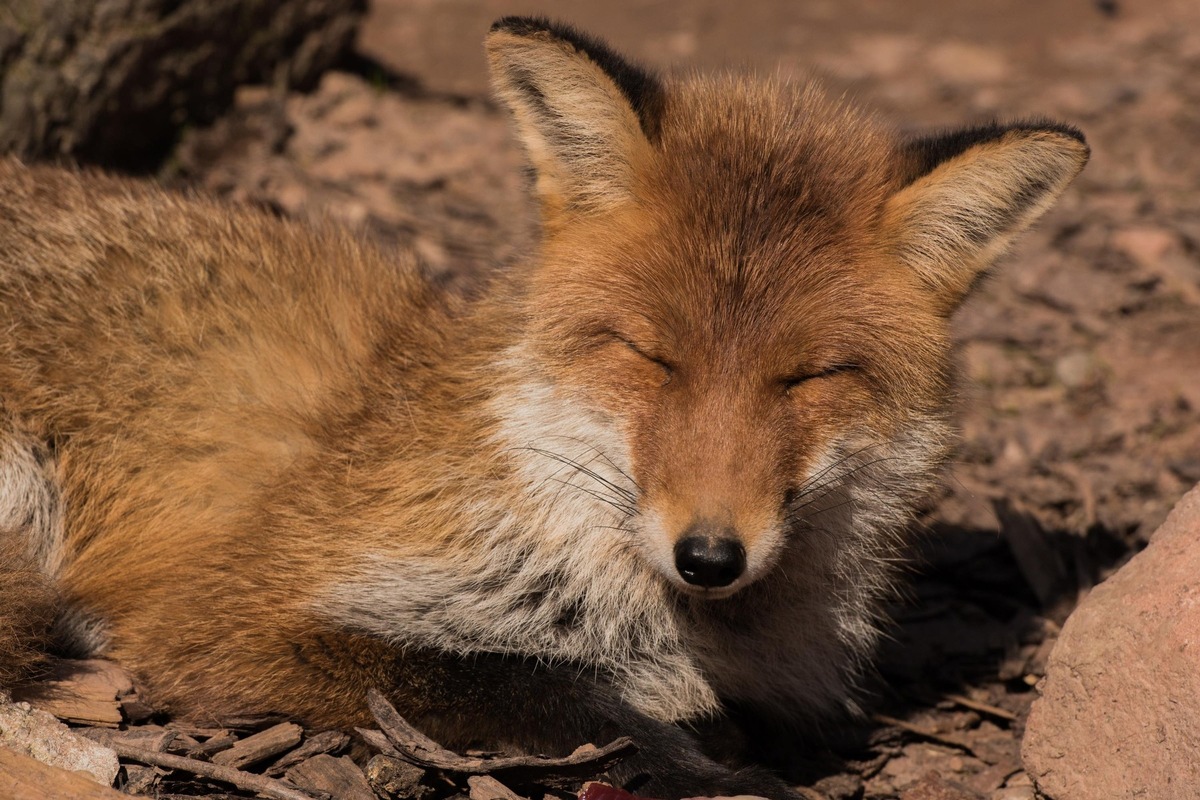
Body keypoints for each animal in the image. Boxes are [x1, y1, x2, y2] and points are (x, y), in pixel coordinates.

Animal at [0, 14, 1089, 800]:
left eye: (807, 377)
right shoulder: (233, 614)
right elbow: (537, 689)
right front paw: (715, 775)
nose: (709, 555)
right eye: (653, 357)